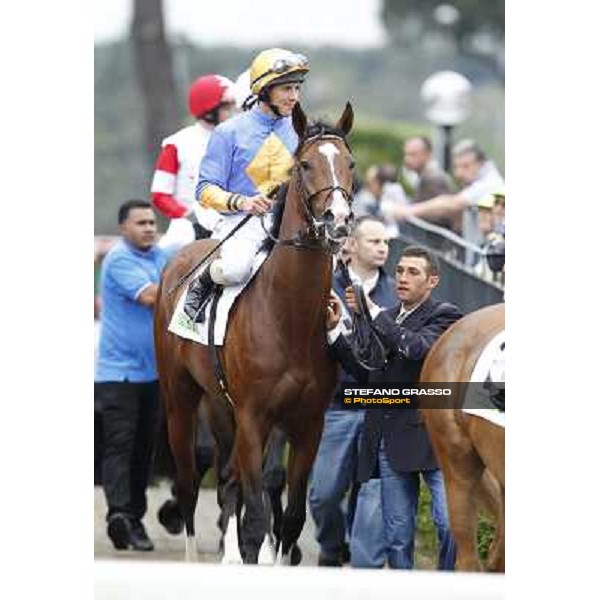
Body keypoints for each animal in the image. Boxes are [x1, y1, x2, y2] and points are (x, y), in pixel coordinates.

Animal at [154, 102, 356, 564]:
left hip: (218, 404)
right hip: (180, 400)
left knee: (228, 478)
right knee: (190, 482)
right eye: (305, 165)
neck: (289, 319)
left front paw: (271, 554)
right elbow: (258, 509)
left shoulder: (306, 422)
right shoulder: (253, 416)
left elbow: (290, 511)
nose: (338, 220)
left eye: (350, 164)